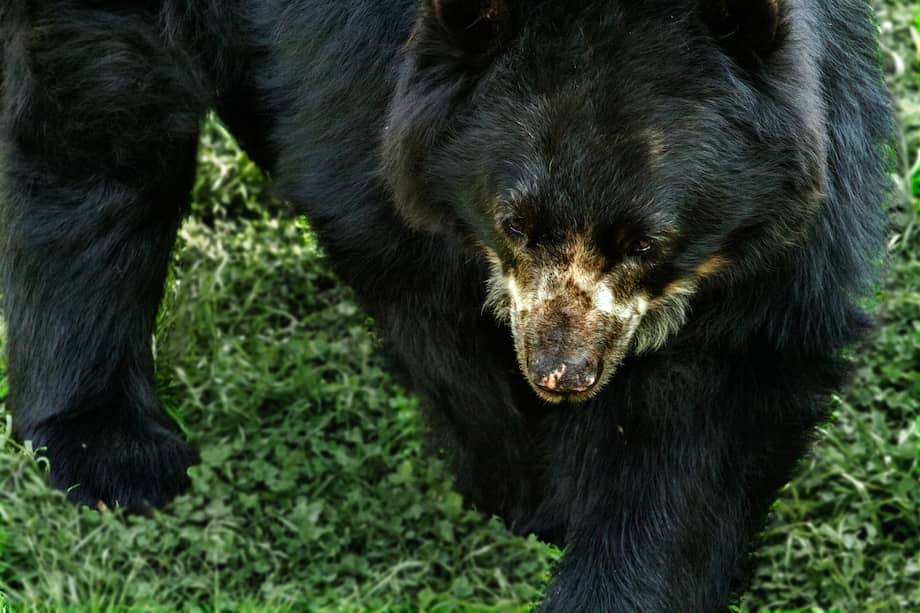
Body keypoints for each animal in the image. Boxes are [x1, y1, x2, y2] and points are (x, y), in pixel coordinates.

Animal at [0, 0, 891, 610]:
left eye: (647, 241)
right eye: (517, 222)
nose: (561, 374)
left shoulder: (791, 203)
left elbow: (719, 403)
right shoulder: (364, 97)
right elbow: (416, 288)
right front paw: (527, 493)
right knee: (97, 138)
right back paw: (111, 452)